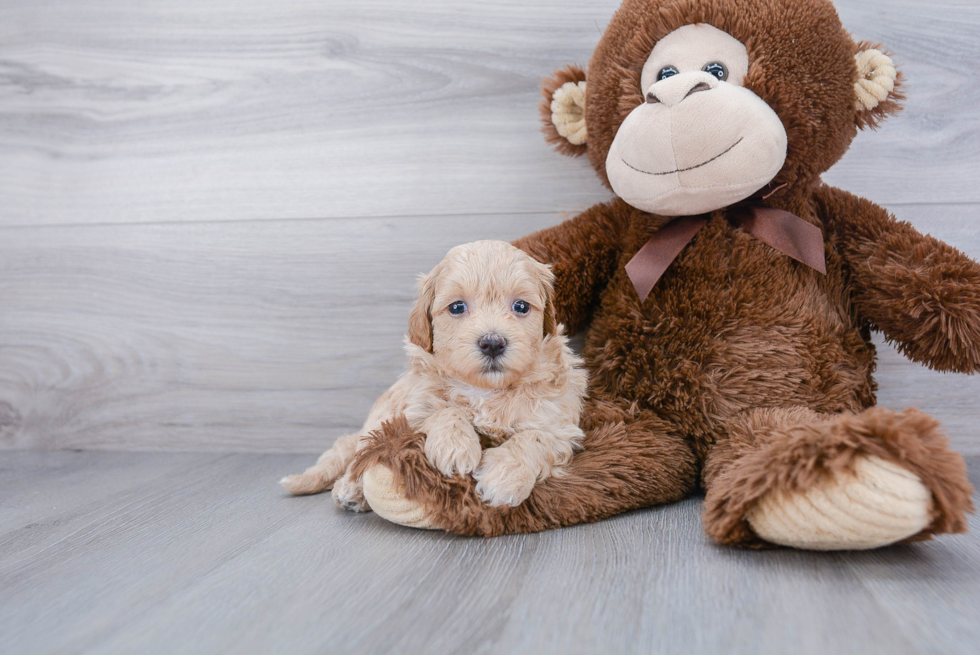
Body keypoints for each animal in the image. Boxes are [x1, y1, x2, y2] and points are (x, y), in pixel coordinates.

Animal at [280, 238, 584, 510]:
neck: (485, 391)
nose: (492, 343)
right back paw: (351, 489)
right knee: (359, 455)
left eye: (521, 306)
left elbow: (534, 438)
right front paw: (456, 447)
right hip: (380, 418)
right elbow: (445, 411)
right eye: (457, 307)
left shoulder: (559, 425)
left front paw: (504, 478)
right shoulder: (414, 409)